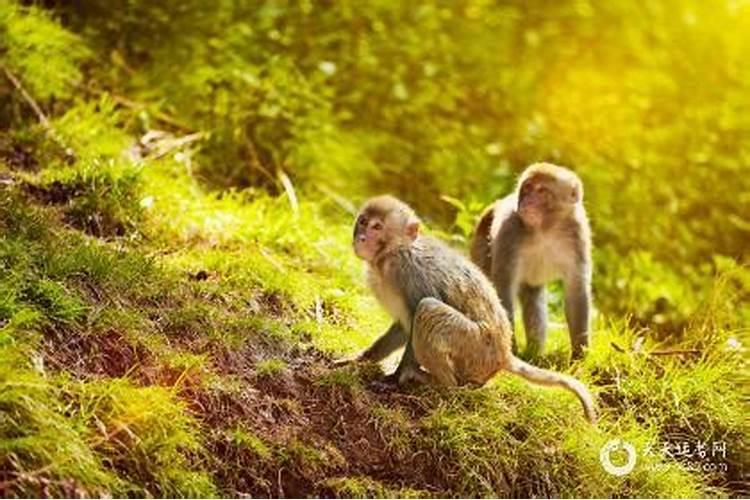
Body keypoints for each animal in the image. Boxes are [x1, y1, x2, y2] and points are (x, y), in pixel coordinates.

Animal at [338, 195, 596, 422]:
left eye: (377, 227)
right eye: (363, 221)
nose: (361, 237)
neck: (390, 254)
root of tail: (504, 353)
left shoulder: (409, 273)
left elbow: (416, 315)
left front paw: (396, 378)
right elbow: (403, 327)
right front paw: (362, 359)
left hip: (477, 348)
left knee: (428, 310)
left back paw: (441, 384)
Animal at [470, 164, 592, 360]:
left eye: (541, 191)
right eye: (527, 188)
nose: (527, 201)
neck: (545, 229)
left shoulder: (578, 234)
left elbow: (576, 289)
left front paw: (579, 355)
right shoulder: (509, 230)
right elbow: (503, 288)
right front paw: (510, 349)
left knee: (533, 298)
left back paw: (535, 352)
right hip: (480, 247)